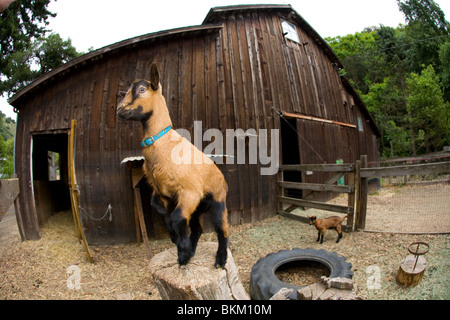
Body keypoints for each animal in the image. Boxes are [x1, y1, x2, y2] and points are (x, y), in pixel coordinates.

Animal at [117, 62, 229, 268]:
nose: (120, 110)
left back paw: (219, 259)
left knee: (222, 228)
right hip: (199, 207)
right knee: (198, 228)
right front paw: (176, 240)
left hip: (217, 199)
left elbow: (177, 217)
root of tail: (221, 176)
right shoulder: (161, 192)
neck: (164, 144)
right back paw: (191, 251)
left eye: (142, 90)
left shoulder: (190, 192)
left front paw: (182, 251)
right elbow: (162, 210)